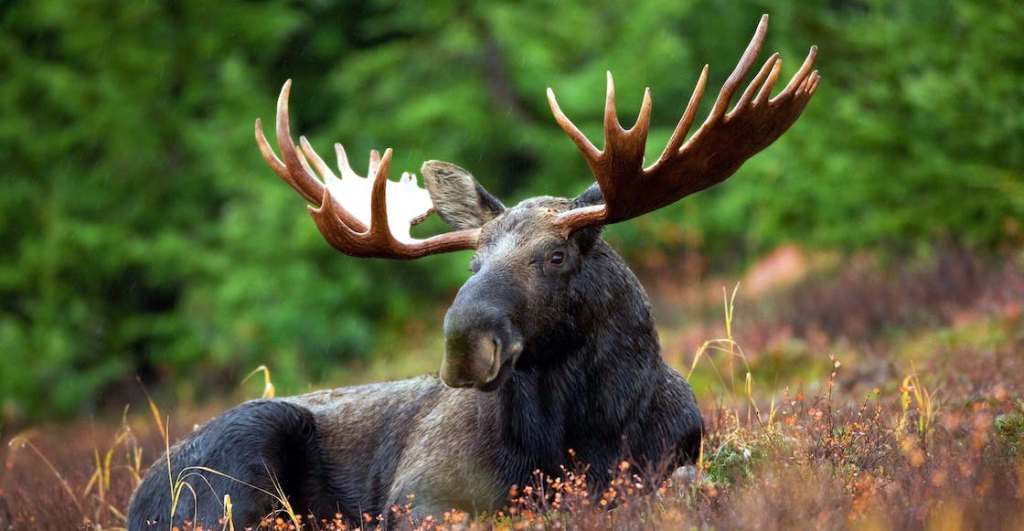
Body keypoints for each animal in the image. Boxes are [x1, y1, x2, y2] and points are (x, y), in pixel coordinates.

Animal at [128, 14, 819, 527]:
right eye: (473, 260)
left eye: (556, 255)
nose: (464, 344)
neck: (584, 434)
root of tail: (139, 497)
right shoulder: (420, 492)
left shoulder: (675, 456)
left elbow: (684, 481)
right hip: (240, 455)